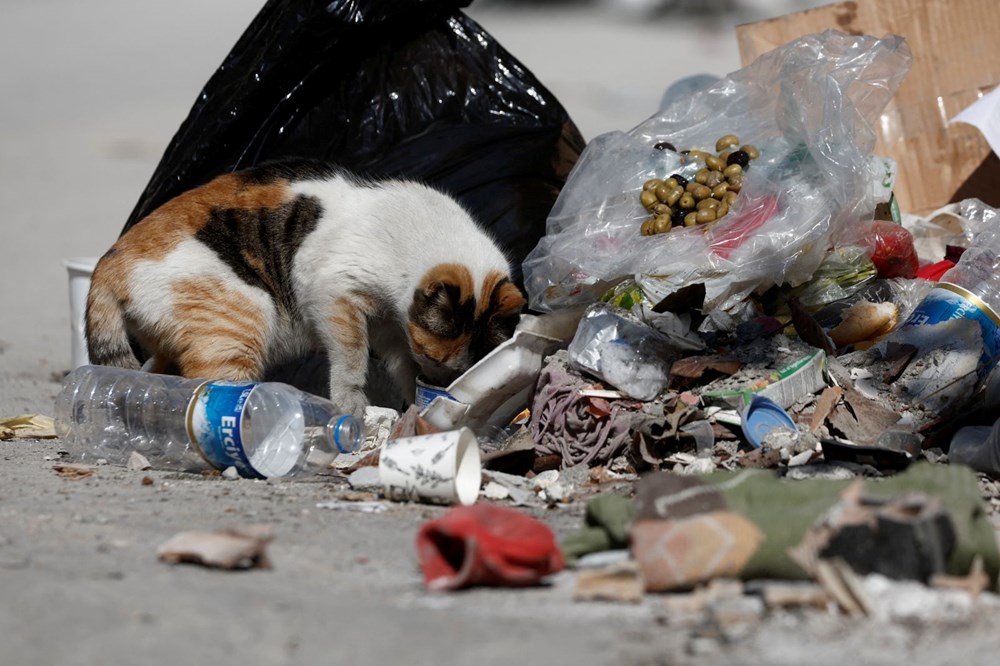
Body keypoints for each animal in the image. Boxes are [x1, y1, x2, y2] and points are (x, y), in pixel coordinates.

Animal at [84, 158, 532, 412]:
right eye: (436, 359)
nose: (438, 383)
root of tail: (109, 262)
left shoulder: (389, 324)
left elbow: (398, 362)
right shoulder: (333, 291)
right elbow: (351, 359)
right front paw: (353, 405)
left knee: (155, 376)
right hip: (242, 318)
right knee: (207, 384)